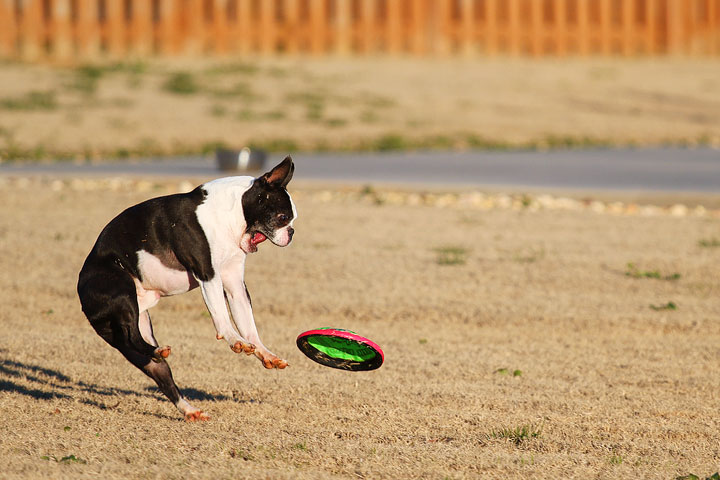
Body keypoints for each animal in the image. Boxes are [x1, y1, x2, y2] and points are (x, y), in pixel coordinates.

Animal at [76, 157, 296, 420]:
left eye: (291, 220)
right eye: (283, 217)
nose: (292, 232)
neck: (231, 213)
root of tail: (80, 285)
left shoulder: (235, 284)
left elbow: (248, 322)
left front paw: (265, 353)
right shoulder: (208, 274)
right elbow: (221, 315)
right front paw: (234, 339)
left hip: (133, 329)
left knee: (154, 365)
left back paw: (187, 407)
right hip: (122, 292)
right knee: (132, 336)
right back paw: (161, 352)